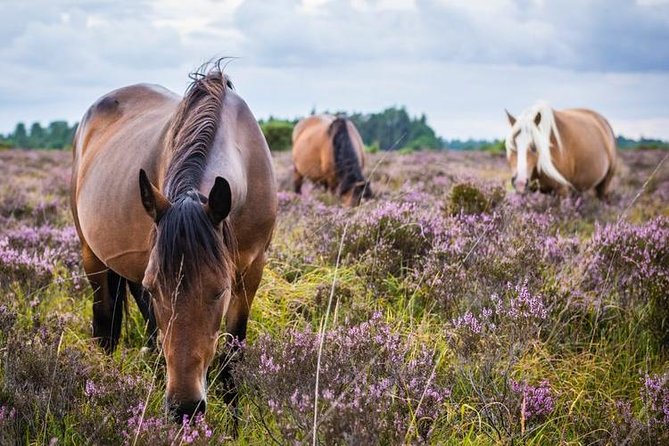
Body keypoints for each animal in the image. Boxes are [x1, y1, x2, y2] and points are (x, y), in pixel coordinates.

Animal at [73, 64, 280, 420]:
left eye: (219, 291)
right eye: (157, 288)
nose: (185, 408)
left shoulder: (252, 271)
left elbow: (231, 359)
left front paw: (236, 423)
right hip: (93, 258)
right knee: (106, 325)